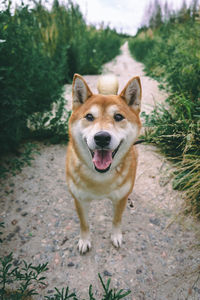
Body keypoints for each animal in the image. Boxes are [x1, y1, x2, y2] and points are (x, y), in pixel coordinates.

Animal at [66, 73, 141, 253]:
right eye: (89, 117)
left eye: (118, 117)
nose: (102, 137)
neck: (100, 177)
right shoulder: (80, 200)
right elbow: (84, 224)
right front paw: (84, 240)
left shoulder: (120, 199)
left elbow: (116, 220)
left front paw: (116, 236)